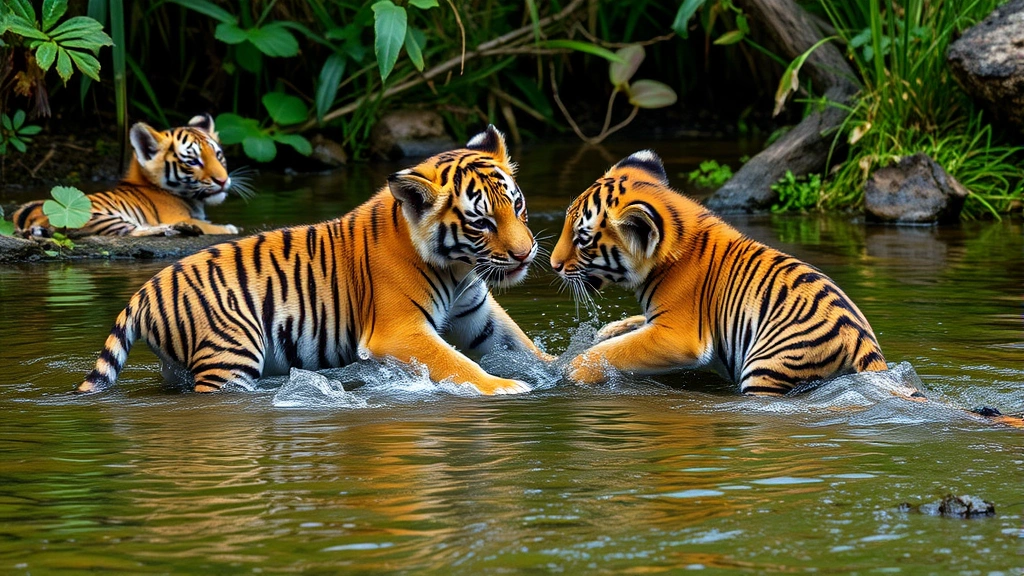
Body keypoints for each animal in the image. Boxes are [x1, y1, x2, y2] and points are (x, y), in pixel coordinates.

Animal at [12, 114, 245, 237]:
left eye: (218, 156)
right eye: (193, 162)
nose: (222, 180)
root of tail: (26, 218)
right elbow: (212, 227)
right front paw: (230, 227)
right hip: (95, 217)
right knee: (134, 231)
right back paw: (176, 229)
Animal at [77, 125, 551, 396]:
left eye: (517, 206)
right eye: (482, 222)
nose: (525, 253)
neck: (458, 267)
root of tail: (143, 293)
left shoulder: (477, 313)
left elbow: (521, 345)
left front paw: (556, 369)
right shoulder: (398, 331)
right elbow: (456, 362)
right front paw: (505, 386)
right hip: (230, 351)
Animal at [550, 150, 888, 396]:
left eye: (581, 239)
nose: (553, 264)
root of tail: (861, 340)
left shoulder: (677, 336)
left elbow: (614, 351)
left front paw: (573, 369)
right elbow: (625, 332)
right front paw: (607, 330)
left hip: (767, 367)